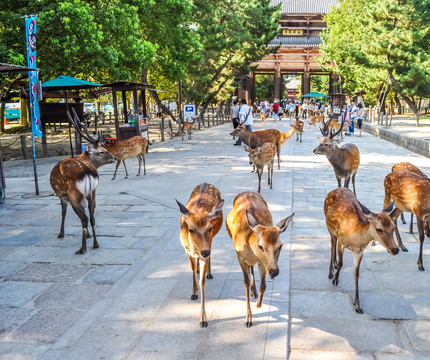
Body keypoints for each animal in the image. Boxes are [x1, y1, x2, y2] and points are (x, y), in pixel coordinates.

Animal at [49, 109, 116, 253]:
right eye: (102, 151)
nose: (115, 157)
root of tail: (88, 171)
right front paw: (89, 236)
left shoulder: (62, 195)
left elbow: (63, 212)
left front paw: (61, 233)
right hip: (93, 192)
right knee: (92, 216)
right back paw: (96, 244)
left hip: (75, 194)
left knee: (84, 218)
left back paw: (82, 248)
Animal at [175, 184, 223, 328]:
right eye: (191, 230)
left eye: (210, 228)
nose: (205, 252)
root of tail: (206, 183)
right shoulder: (186, 250)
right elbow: (191, 269)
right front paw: (193, 293)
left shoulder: (207, 244)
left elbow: (202, 282)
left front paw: (203, 319)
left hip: (211, 241)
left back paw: (209, 272)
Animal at [225, 193, 296, 328]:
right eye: (261, 246)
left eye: (280, 246)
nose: (274, 271)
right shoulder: (240, 257)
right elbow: (246, 283)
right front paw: (248, 318)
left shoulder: (262, 262)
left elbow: (263, 285)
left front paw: (258, 304)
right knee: (249, 269)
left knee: (252, 268)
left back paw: (254, 292)